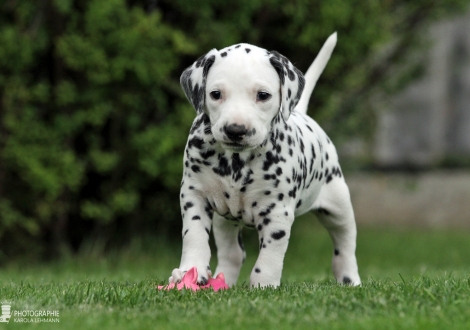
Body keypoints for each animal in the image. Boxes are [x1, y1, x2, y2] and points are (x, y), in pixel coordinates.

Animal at [172, 32, 360, 288]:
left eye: (262, 95)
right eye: (215, 94)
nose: (235, 129)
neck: (235, 163)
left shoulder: (277, 213)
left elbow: (270, 256)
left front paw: (264, 286)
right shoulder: (194, 195)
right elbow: (194, 236)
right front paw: (191, 270)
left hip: (338, 206)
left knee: (345, 245)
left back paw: (350, 279)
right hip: (224, 221)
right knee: (233, 253)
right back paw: (223, 281)